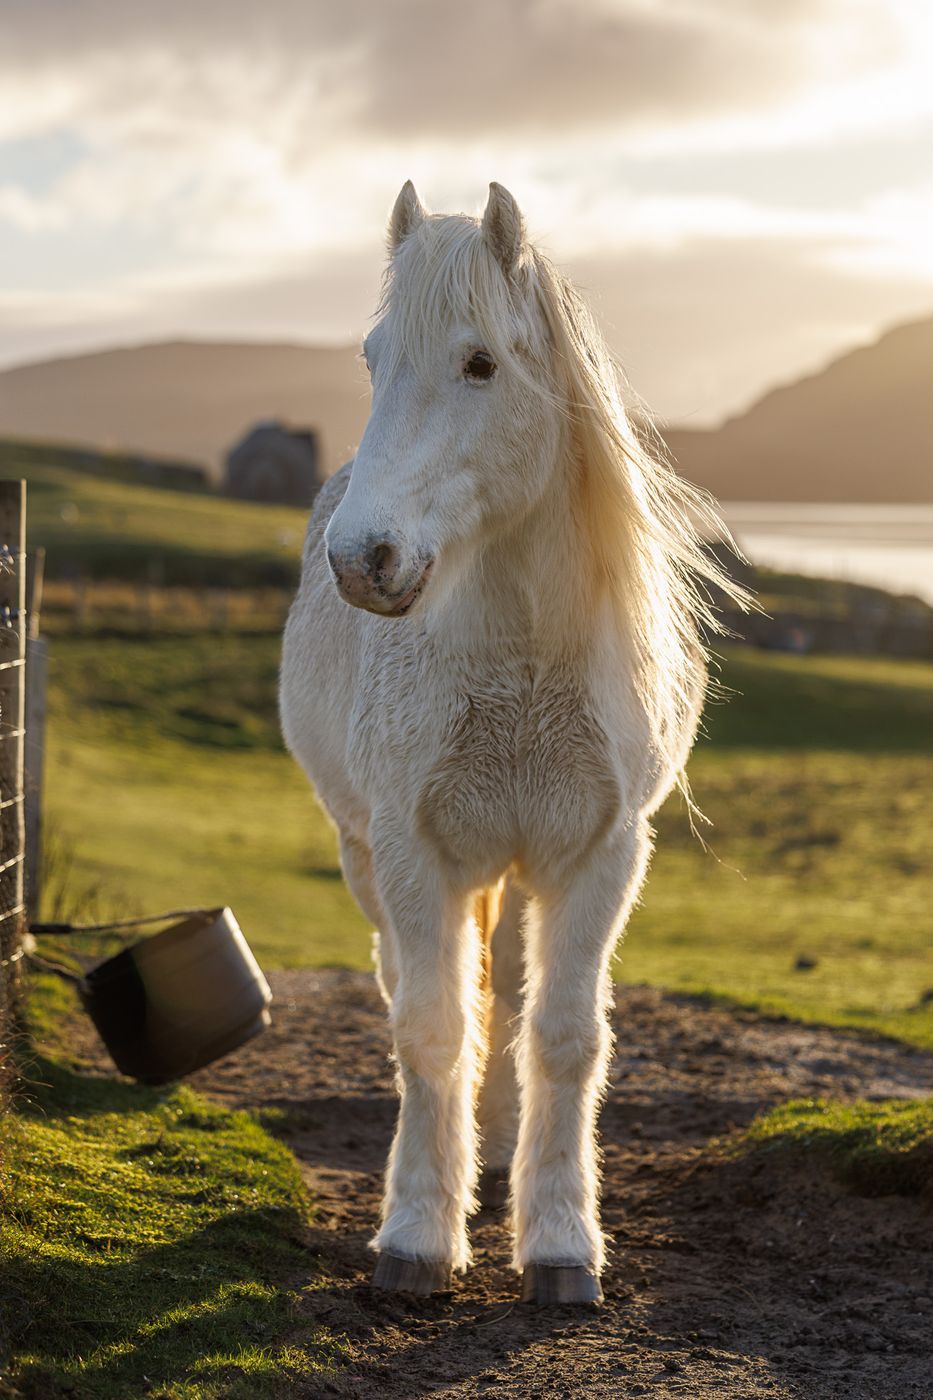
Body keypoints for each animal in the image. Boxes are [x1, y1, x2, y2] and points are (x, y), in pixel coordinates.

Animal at [280, 181, 747, 1305]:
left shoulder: (598, 856)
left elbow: (566, 1037)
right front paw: (415, 1234)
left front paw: (562, 1241)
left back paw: (494, 1161)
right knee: (420, 987)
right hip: (368, 857)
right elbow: (430, 1026)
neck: (523, 655)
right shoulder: (413, 852)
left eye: (482, 362)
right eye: (372, 357)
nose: (362, 560)